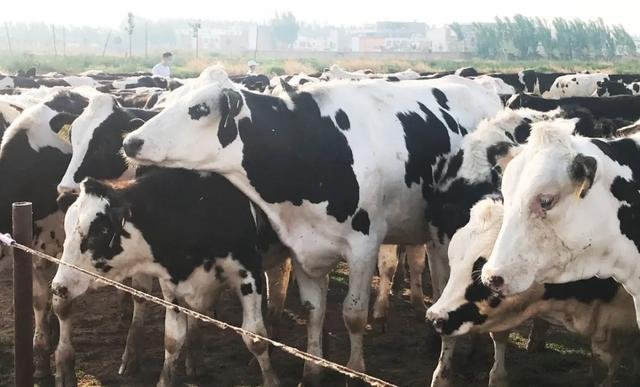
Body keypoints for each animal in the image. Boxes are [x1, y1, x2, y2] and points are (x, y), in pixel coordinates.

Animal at [53, 169, 284, 387]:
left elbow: (255, 337)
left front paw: (271, 380)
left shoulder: (249, 274)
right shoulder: (171, 285)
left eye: (99, 231)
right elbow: (173, 338)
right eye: (66, 229)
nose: (58, 287)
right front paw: (165, 379)